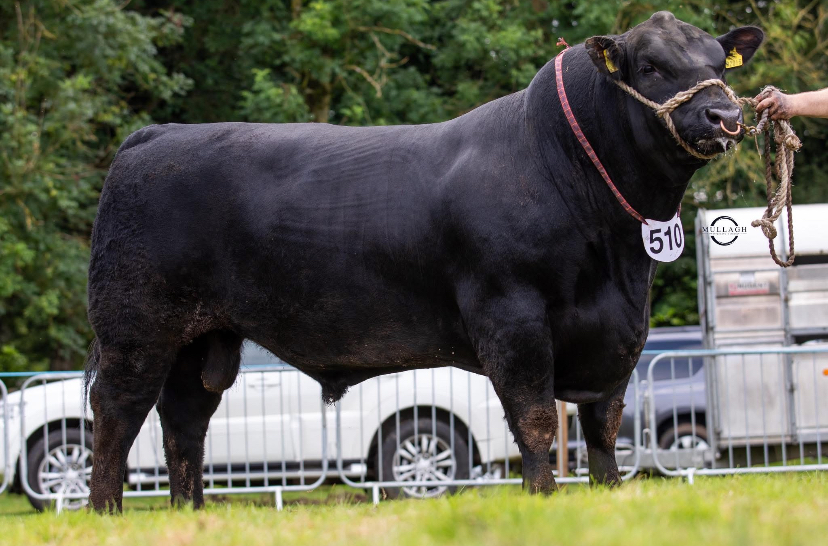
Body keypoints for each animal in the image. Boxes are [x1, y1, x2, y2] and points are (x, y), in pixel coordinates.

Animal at [85, 11, 764, 512]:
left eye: (716, 64)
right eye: (650, 66)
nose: (726, 115)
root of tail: (155, 136)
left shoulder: (622, 329)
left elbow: (602, 423)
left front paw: (608, 494)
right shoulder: (510, 313)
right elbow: (536, 419)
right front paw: (543, 500)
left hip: (203, 339)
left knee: (183, 422)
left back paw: (189, 512)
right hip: (135, 325)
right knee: (117, 412)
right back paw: (106, 512)